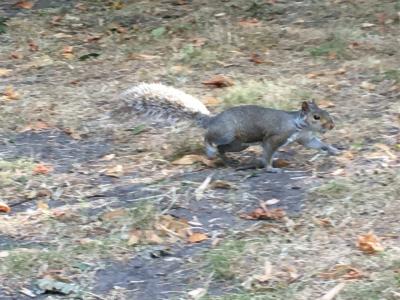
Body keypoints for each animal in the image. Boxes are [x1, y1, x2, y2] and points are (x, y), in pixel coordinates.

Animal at [117, 82, 340, 171]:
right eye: (316, 116)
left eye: (326, 113)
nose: (331, 125)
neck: (298, 124)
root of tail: (212, 120)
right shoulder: (275, 137)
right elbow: (268, 152)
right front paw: (270, 168)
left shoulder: (305, 138)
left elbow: (316, 145)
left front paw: (334, 150)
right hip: (226, 133)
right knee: (208, 138)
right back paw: (209, 151)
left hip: (239, 144)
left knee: (223, 149)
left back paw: (228, 162)